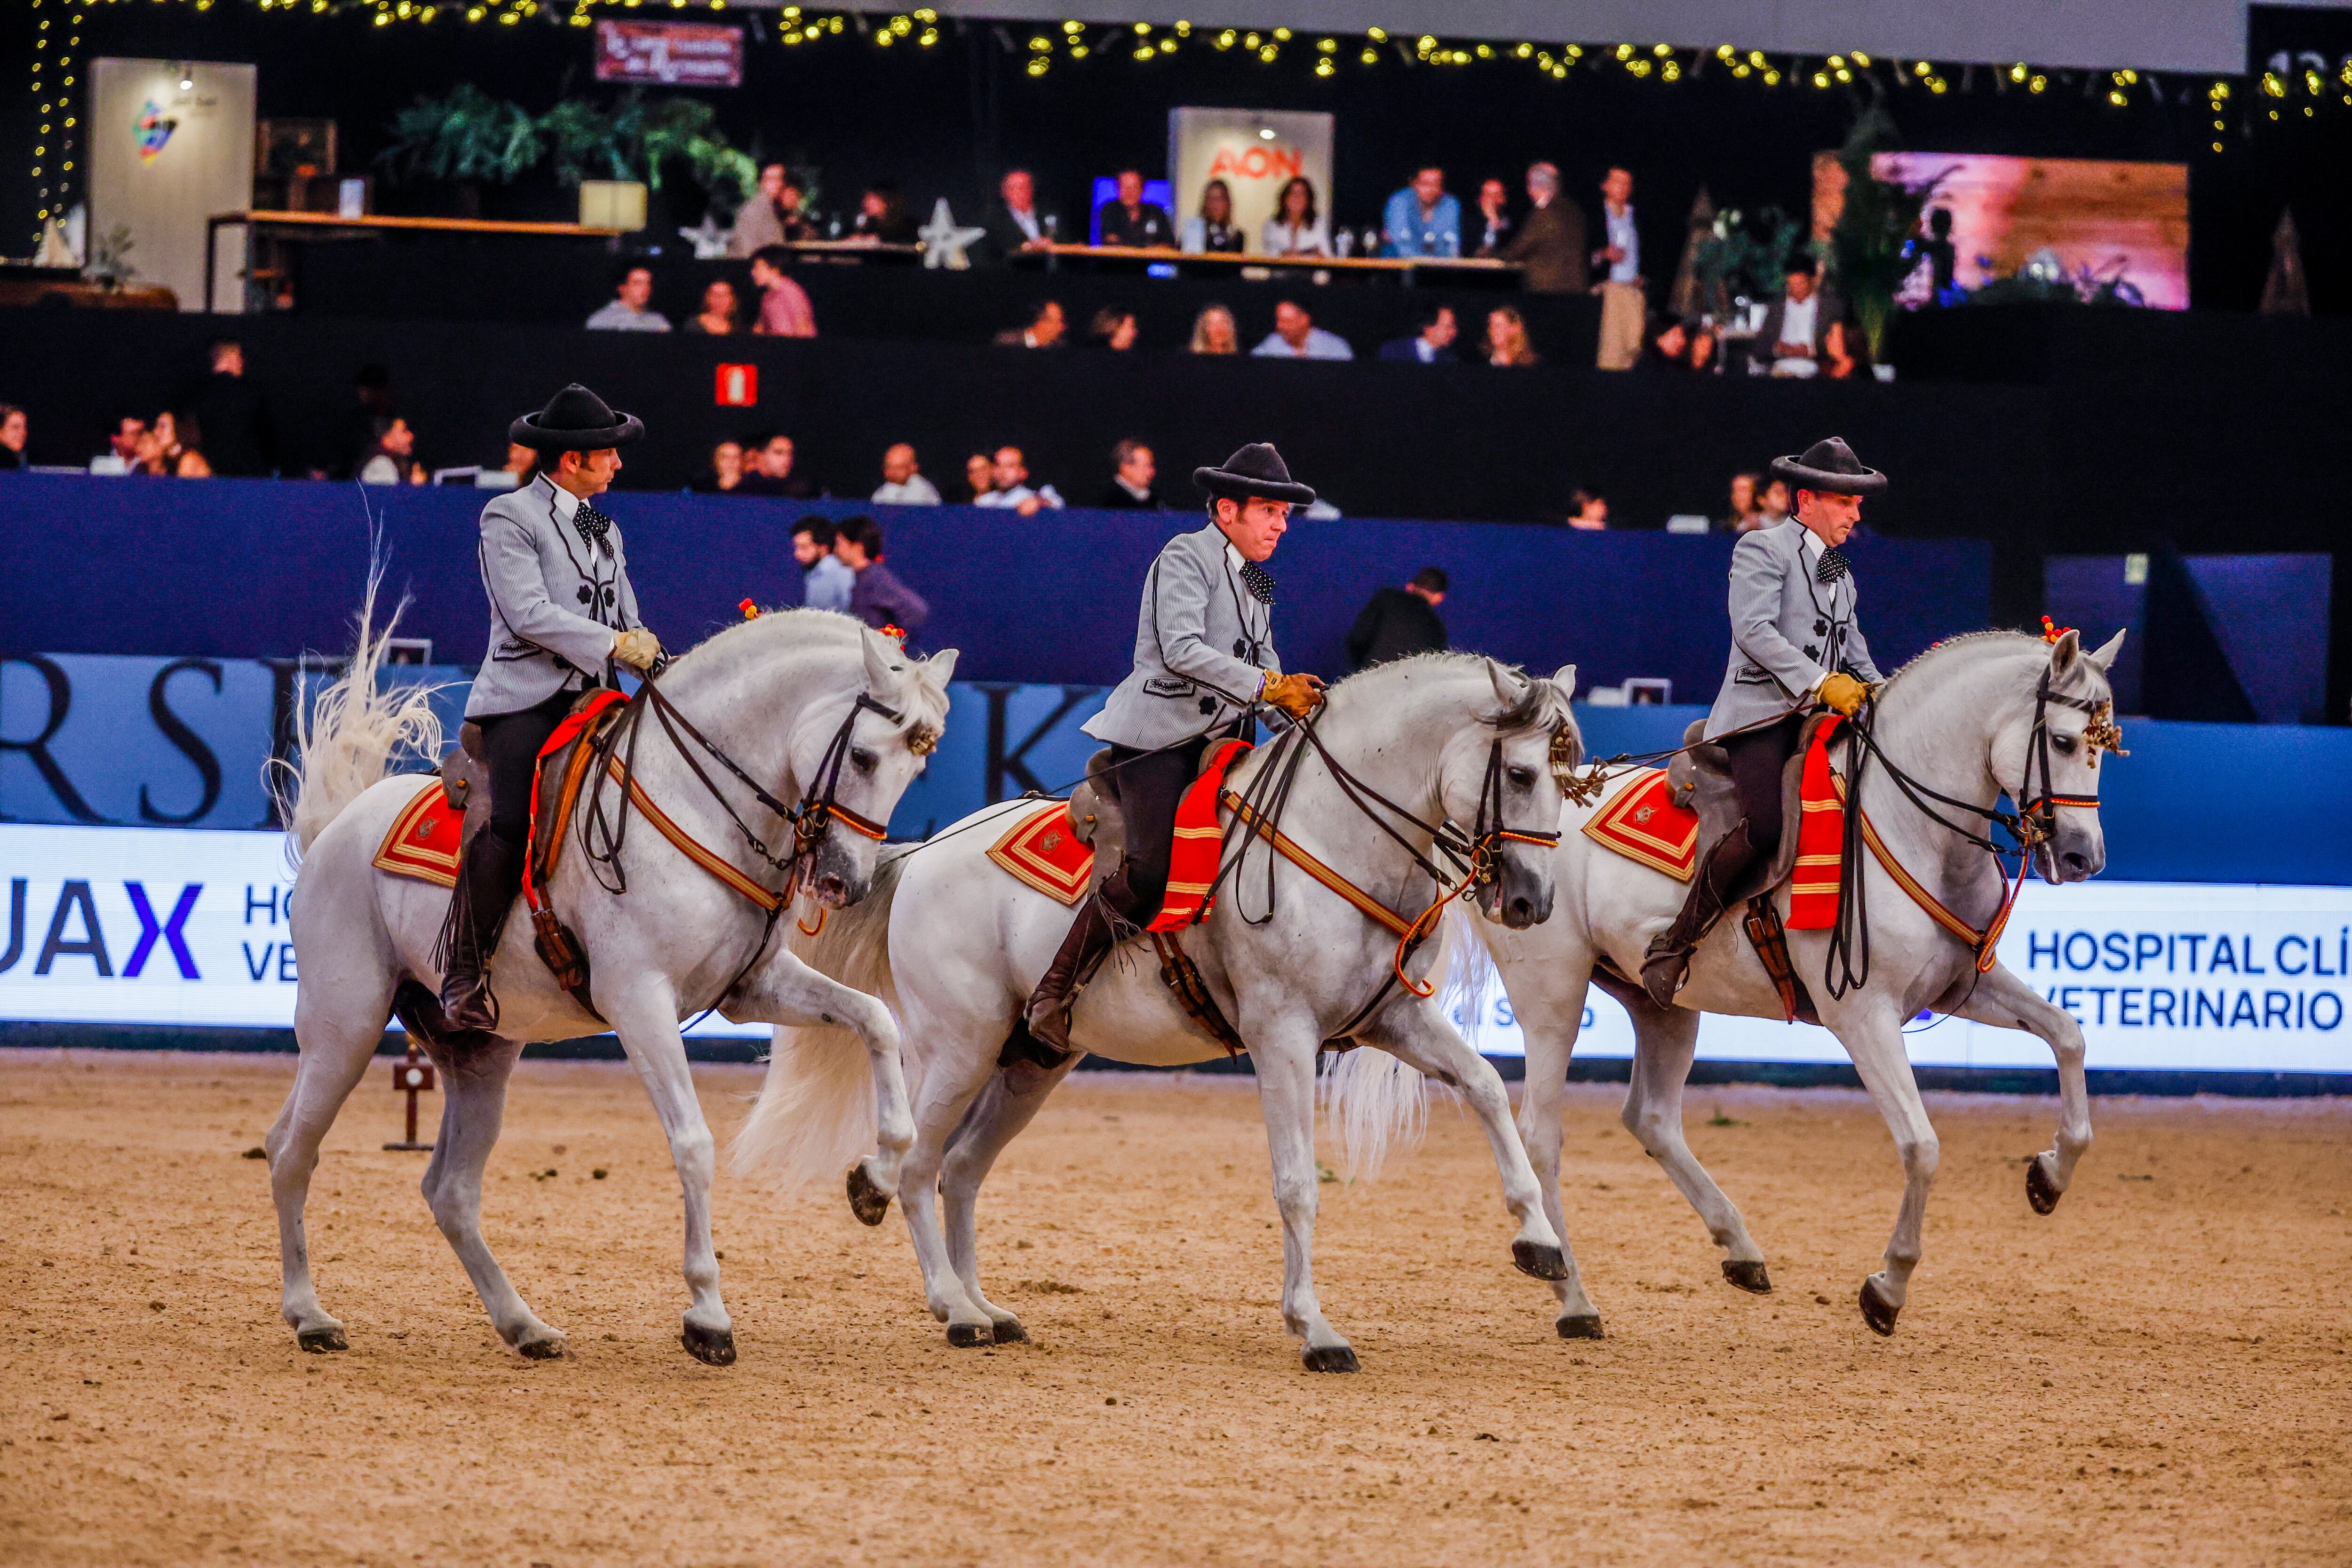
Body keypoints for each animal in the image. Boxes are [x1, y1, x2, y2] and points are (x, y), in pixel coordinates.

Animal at [260, 602, 955, 1363]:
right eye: (863, 758)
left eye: (917, 768)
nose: (843, 884)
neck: (693, 802)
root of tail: (337, 829)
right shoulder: (639, 1001)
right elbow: (694, 1145)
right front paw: (708, 1315)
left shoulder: (756, 987)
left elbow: (875, 1021)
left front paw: (874, 1179)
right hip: (344, 1030)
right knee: (291, 1150)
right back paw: (309, 1315)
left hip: (480, 1057)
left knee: (450, 1192)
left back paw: (524, 1325)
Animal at [734, 658, 1581, 1363]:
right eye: (1520, 772)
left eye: (1562, 775)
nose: (1532, 901)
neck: (1332, 835)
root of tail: (917, 857)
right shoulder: (1283, 1034)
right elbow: (1297, 1182)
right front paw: (1314, 1327)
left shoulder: (1393, 1018)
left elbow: (1485, 1088)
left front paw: (1539, 1241)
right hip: (959, 1049)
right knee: (915, 1165)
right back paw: (952, 1304)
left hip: (1033, 1062)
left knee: (963, 1169)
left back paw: (985, 1306)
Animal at [1336, 621, 2126, 1335]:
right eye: (2063, 742)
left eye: (2105, 748)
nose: (2084, 856)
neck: (1906, 826)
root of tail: (1490, 839)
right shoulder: (1862, 1015)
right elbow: (1922, 1146)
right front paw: (1888, 1287)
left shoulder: (1961, 988)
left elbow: (2070, 1037)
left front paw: (2050, 1176)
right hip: (1553, 995)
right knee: (1541, 1135)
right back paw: (1574, 1297)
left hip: (1659, 999)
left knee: (1651, 1118)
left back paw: (1739, 1247)